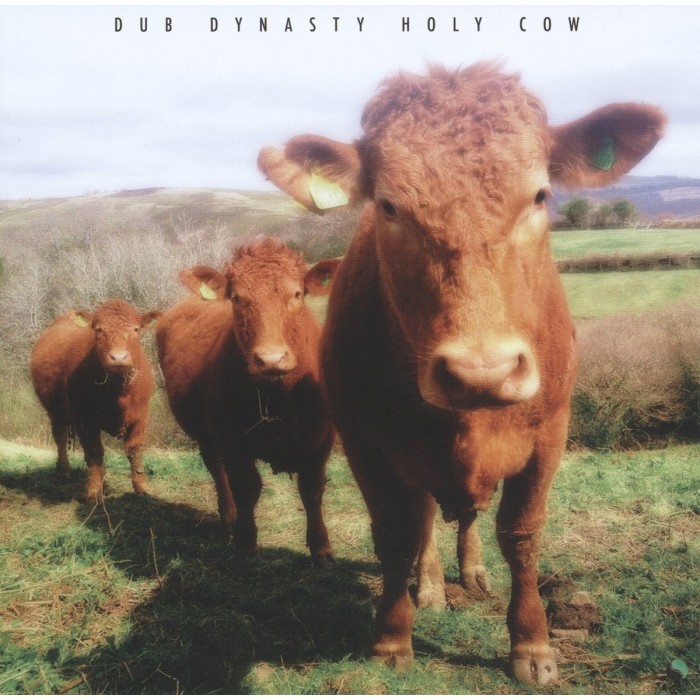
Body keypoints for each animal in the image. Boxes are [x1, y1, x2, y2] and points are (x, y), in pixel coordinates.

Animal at [30, 299, 161, 502]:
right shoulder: (85, 419)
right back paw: (63, 472)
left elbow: (134, 450)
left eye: (136, 329)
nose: (118, 358)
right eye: (99, 330)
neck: (118, 392)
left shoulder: (140, 415)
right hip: (54, 411)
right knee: (60, 438)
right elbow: (94, 452)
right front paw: (93, 492)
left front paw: (142, 489)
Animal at [155, 238, 341, 561]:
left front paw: (321, 547)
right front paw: (246, 541)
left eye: (297, 293)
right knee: (217, 469)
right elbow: (246, 487)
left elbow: (312, 489)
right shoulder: (231, 439)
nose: (271, 359)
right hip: (205, 433)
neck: (279, 399)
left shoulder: (322, 439)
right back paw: (229, 516)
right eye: (237, 297)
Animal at [257, 63, 665, 684]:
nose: (482, 372)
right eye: (388, 206)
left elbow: (520, 535)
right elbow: (396, 534)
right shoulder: (365, 442)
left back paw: (470, 572)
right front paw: (392, 637)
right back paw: (428, 587)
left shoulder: (551, 434)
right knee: (425, 521)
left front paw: (532, 644)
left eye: (540, 195)